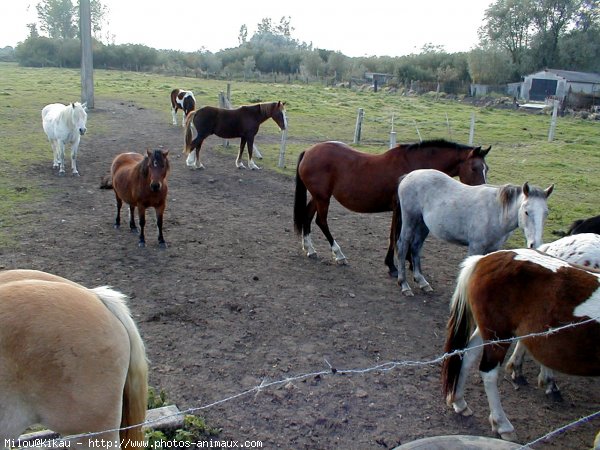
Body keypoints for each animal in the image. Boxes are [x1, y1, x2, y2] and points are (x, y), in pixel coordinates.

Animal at [292, 140, 492, 274]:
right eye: (474, 168)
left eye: (486, 168)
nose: (484, 189)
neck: (415, 168)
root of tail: (309, 151)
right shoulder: (400, 209)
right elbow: (395, 235)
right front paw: (393, 265)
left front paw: (408, 263)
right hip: (323, 198)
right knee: (321, 221)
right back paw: (339, 254)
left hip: (318, 197)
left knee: (307, 217)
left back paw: (310, 249)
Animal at [394, 168, 552, 296]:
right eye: (526, 212)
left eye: (546, 213)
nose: (535, 244)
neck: (496, 213)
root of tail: (409, 175)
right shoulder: (475, 247)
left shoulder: (493, 248)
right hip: (410, 220)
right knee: (403, 246)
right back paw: (404, 285)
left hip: (423, 225)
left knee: (416, 247)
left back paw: (422, 282)